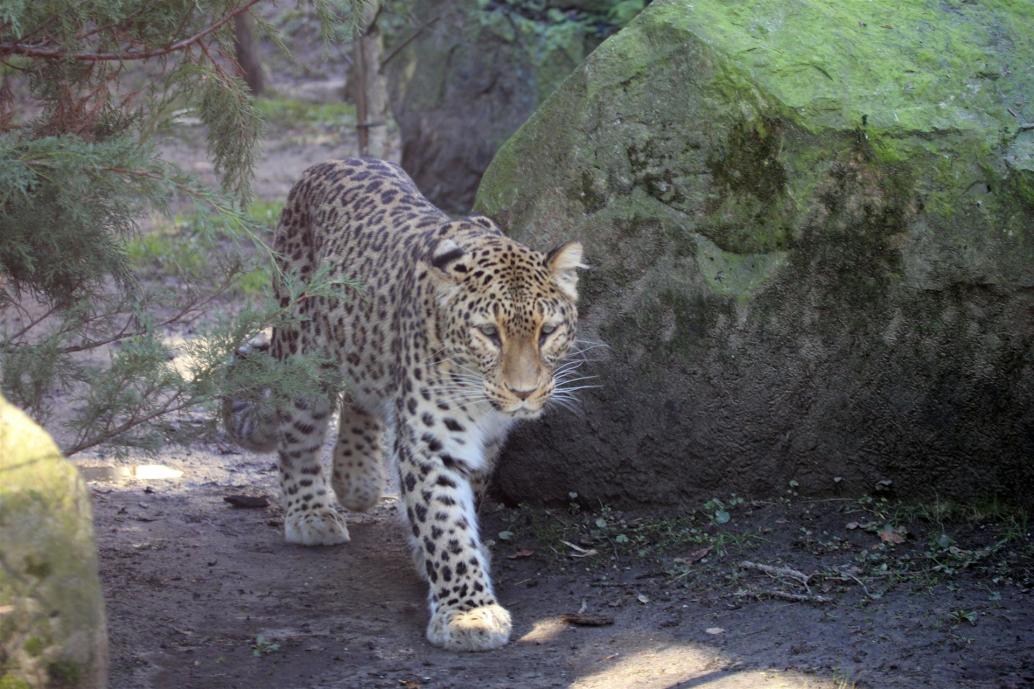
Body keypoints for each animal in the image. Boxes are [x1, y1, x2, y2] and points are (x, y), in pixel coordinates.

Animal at [222, 157, 584, 651]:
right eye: (489, 333)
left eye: (547, 332)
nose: (524, 391)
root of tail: (332, 161)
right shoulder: (432, 442)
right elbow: (446, 525)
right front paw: (467, 613)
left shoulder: (488, 442)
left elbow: (462, 502)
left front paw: (438, 559)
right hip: (303, 349)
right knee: (299, 435)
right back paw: (311, 513)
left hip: (363, 344)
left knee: (362, 395)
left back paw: (356, 479)